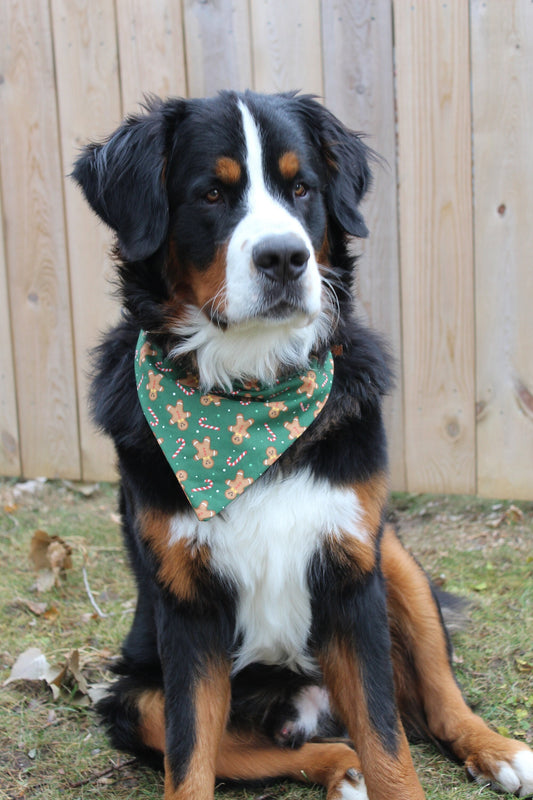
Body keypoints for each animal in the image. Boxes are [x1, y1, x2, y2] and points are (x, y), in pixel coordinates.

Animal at [71, 92, 532, 800]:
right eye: (211, 193)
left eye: (302, 189)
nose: (285, 258)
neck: (249, 399)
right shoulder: (186, 605)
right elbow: (191, 756)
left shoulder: (351, 571)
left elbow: (388, 741)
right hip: (132, 697)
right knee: (266, 746)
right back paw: (338, 764)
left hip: (395, 559)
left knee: (436, 700)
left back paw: (496, 749)